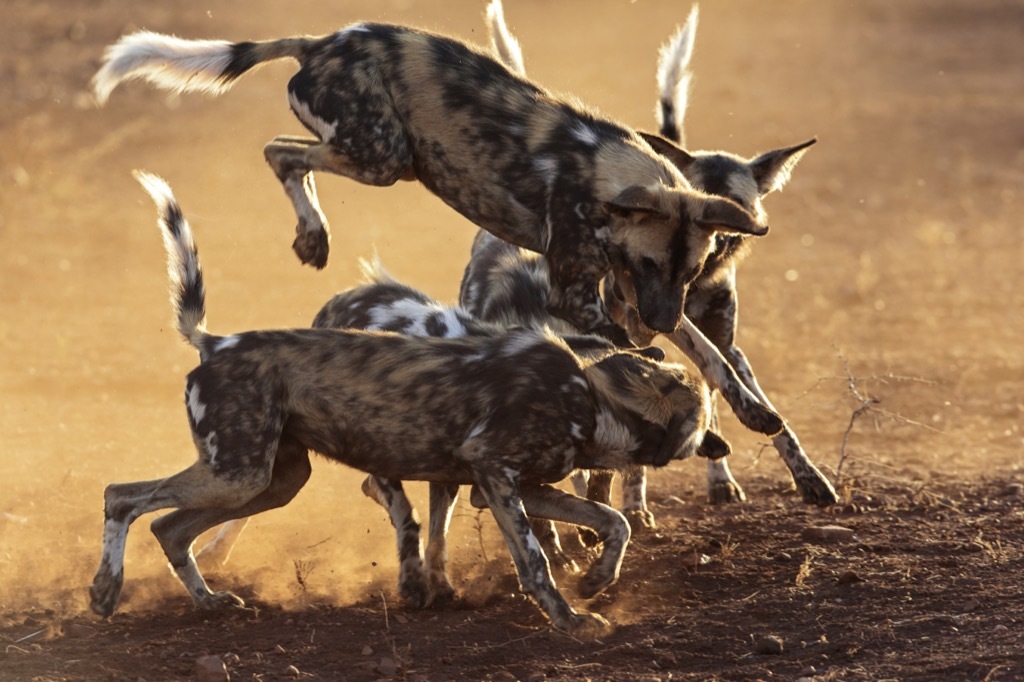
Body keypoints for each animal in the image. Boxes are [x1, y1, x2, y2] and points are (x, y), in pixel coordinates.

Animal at [92, 19, 770, 346]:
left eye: (689, 271)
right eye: (654, 265)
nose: (664, 320)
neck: (606, 172)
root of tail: (320, 42)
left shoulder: (618, 288)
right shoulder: (576, 295)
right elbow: (613, 341)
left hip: (375, 156)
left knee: (286, 154)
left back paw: (312, 238)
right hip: (383, 157)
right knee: (281, 152)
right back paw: (314, 235)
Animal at [92, 173, 724, 634]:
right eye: (701, 425)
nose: (720, 445)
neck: (593, 397)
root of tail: (217, 341)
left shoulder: (515, 485)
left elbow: (615, 521)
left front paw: (595, 581)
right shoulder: (496, 477)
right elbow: (537, 560)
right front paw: (569, 618)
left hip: (270, 479)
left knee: (170, 528)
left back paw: (208, 603)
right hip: (240, 474)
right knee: (121, 497)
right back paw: (105, 592)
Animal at [487, 0, 839, 507]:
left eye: (733, 214)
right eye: (692, 202)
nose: (712, 249)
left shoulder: (726, 344)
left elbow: (747, 403)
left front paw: (806, 474)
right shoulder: (646, 329)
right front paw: (635, 496)